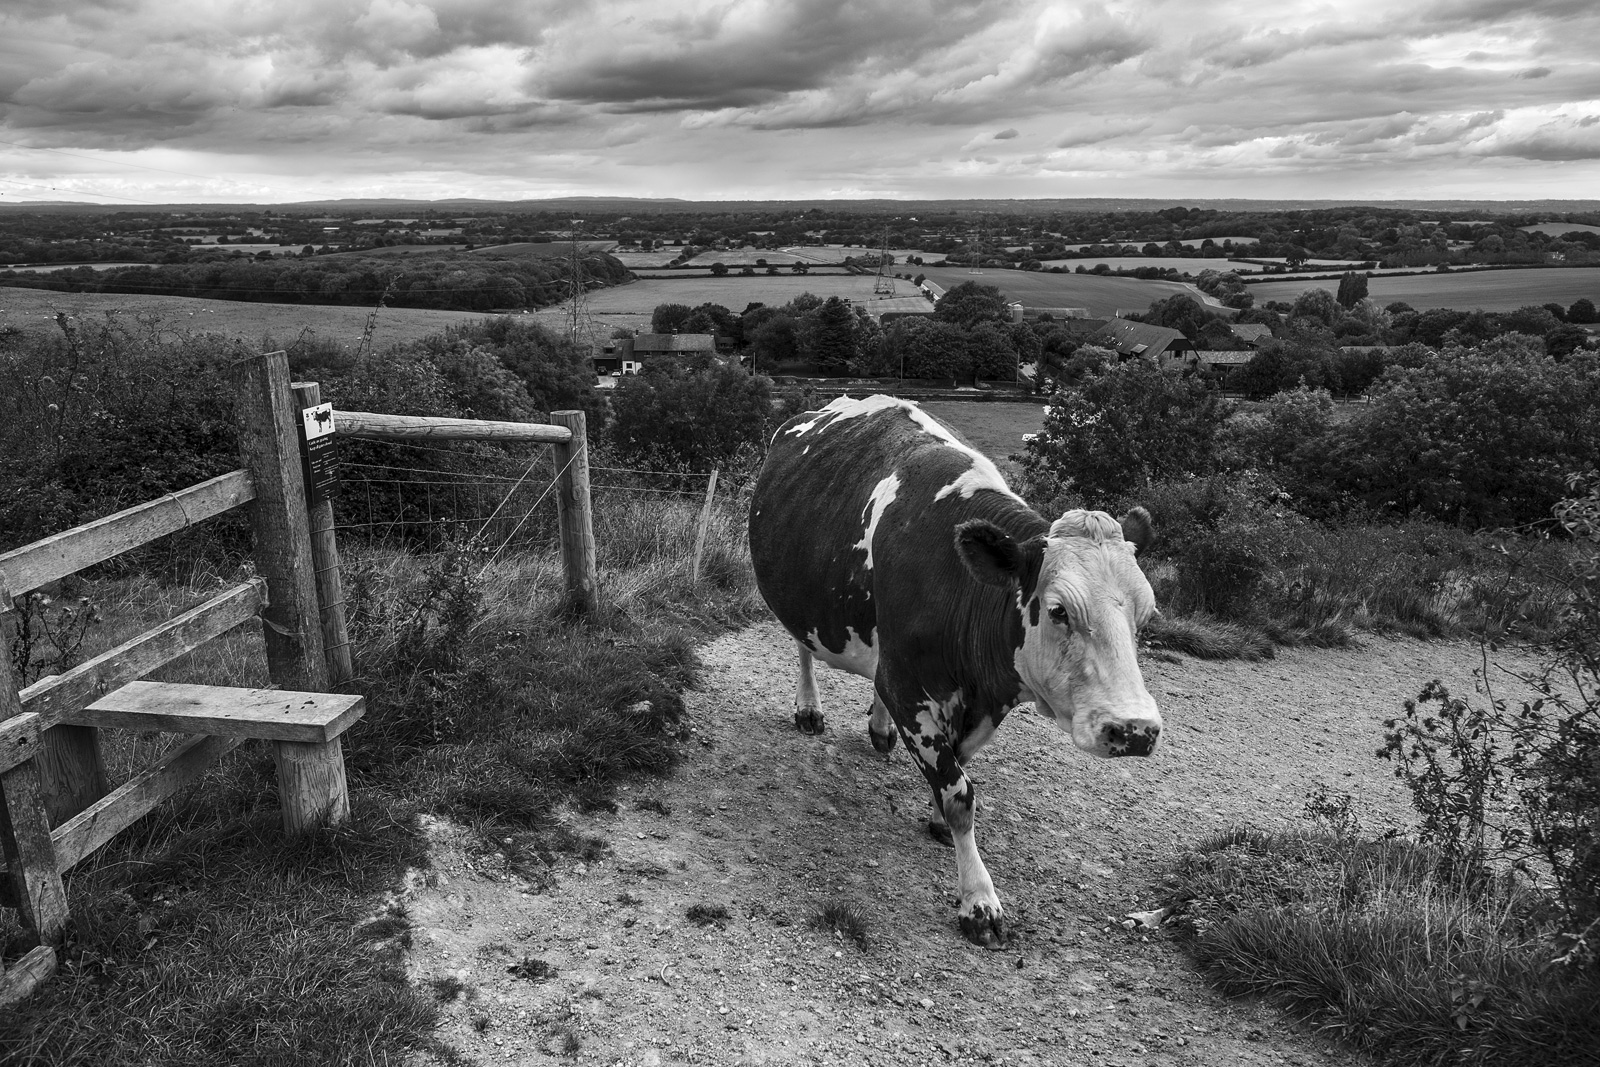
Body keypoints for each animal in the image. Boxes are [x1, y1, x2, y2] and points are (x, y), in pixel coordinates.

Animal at [748, 395, 1163, 947]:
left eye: (1146, 613)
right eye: (1058, 610)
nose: (1135, 729)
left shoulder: (977, 697)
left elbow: (957, 769)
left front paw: (938, 818)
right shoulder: (909, 687)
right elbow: (960, 792)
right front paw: (979, 901)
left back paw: (879, 728)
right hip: (798, 595)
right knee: (803, 646)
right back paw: (809, 709)